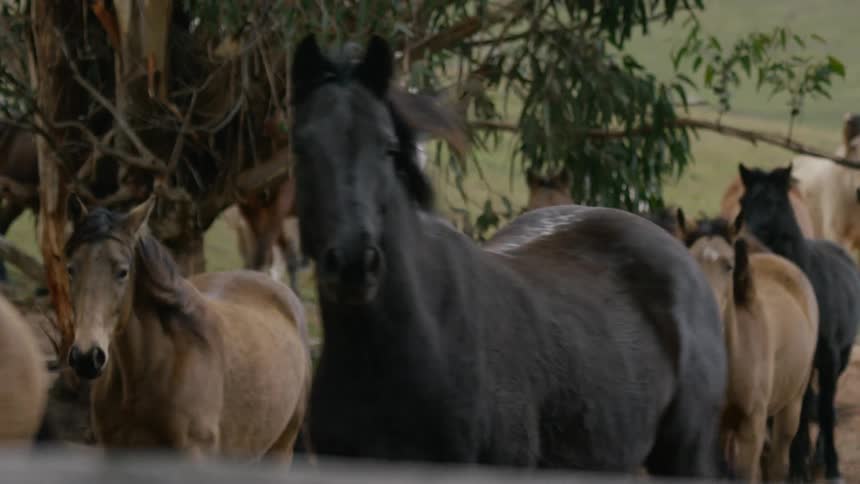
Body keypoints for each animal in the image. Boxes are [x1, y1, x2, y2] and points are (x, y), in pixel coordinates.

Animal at [737, 163, 860, 480]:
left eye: (774, 202)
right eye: (743, 201)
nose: (743, 238)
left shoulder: (828, 358)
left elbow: (826, 411)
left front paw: (832, 467)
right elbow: (800, 413)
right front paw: (796, 467)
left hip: (841, 359)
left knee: (828, 404)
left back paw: (819, 457)